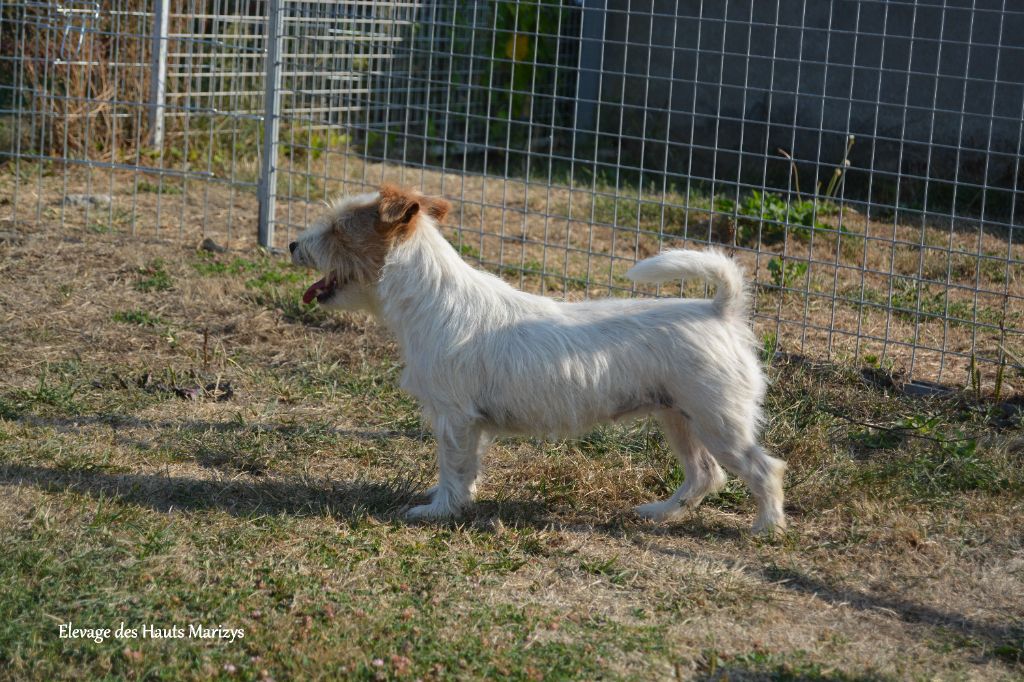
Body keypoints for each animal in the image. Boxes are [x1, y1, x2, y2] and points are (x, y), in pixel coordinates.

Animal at [289, 185, 786, 533]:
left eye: (337, 228)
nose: (293, 245)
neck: (430, 298)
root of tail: (721, 309)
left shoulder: (454, 419)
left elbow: (452, 467)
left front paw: (438, 510)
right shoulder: (470, 426)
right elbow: (466, 468)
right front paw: (455, 499)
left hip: (718, 422)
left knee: (763, 469)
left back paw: (767, 527)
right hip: (680, 418)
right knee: (705, 475)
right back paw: (660, 512)